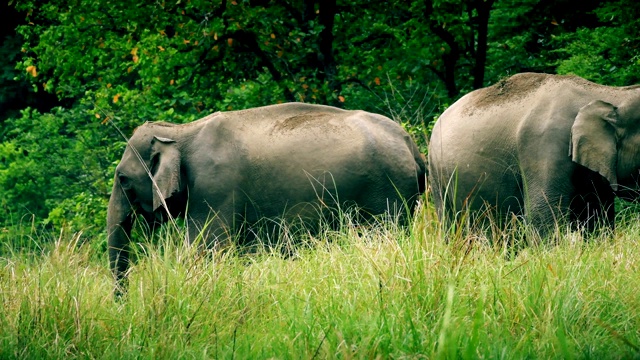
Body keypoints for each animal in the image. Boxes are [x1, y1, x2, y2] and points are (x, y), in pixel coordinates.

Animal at [107, 101, 428, 292]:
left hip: (387, 193)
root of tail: (410, 144)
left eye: (122, 178)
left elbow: (206, 250)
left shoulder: (214, 187)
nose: (123, 303)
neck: (182, 131)